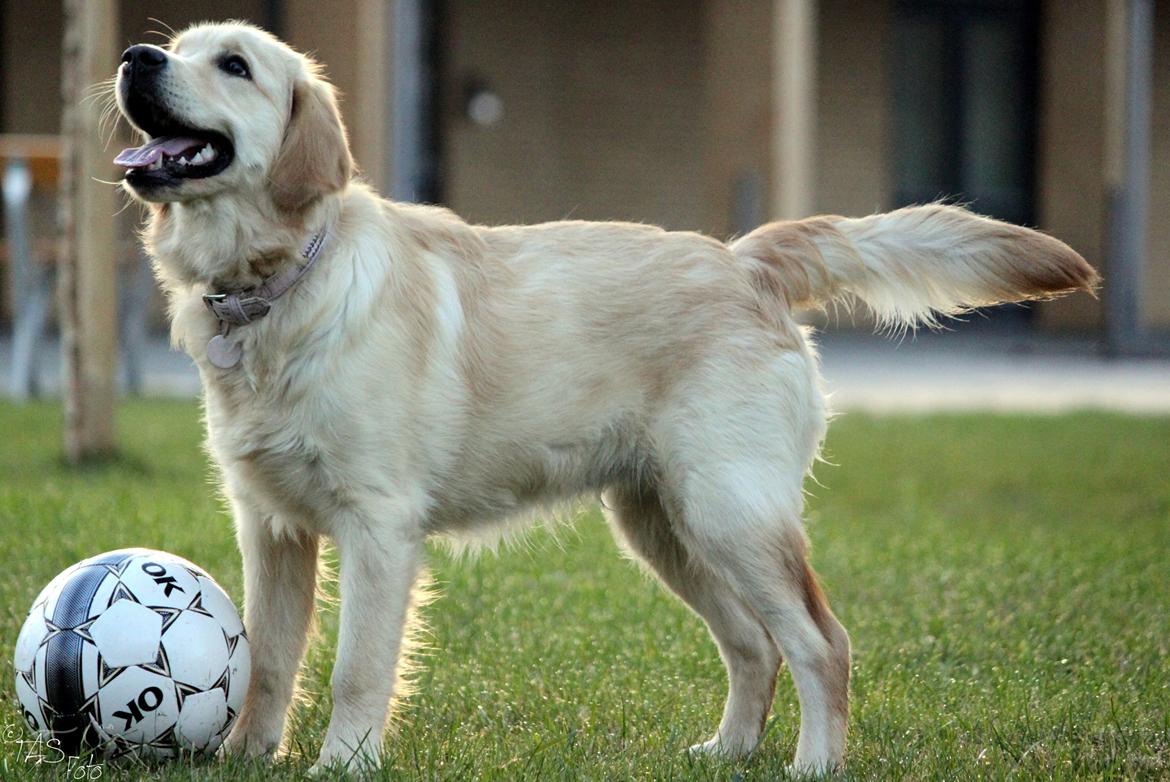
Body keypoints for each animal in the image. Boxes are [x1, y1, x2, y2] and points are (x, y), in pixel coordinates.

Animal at [114, 21, 1099, 772]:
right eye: (180, 45)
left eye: (234, 64)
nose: (134, 56)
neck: (278, 287)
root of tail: (744, 259)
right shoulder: (271, 523)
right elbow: (269, 660)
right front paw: (244, 757)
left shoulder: (378, 527)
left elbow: (358, 668)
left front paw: (343, 763)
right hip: (661, 524)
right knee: (755, 645)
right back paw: (727, 752)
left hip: (731, 513)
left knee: (823, 643)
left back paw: (814, 764)